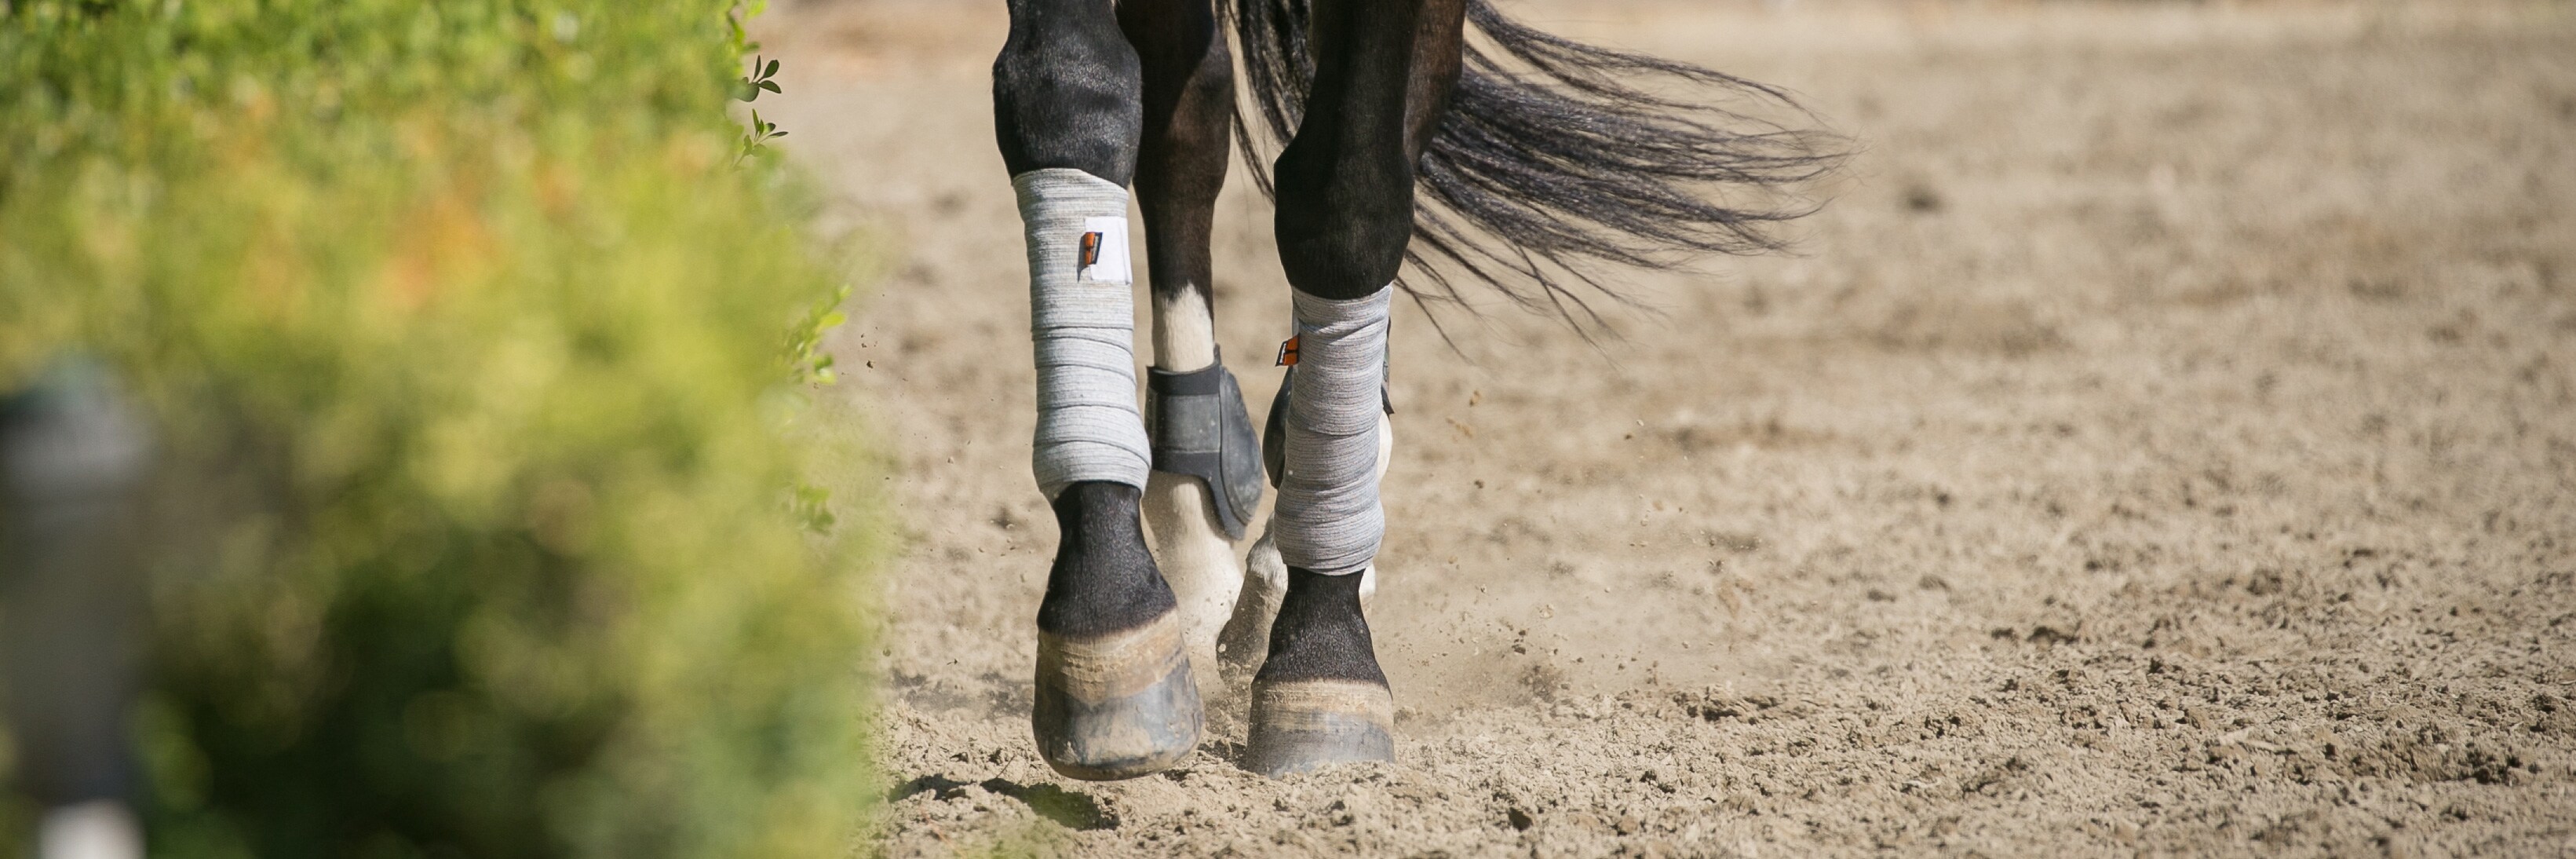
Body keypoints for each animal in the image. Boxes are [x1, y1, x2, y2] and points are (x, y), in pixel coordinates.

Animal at [994, 0, 1844, 773]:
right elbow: (1068, 91)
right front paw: (1109, 615)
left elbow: (1346, 199)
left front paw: (1323, 655)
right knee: (1190, 110)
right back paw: (1203, 559)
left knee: (1394, 106)